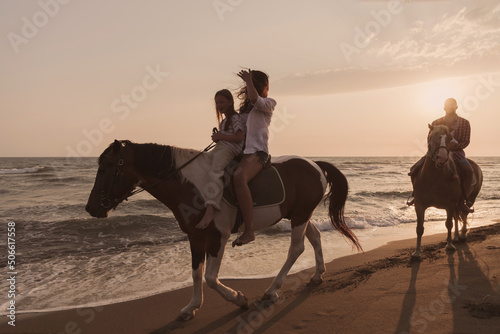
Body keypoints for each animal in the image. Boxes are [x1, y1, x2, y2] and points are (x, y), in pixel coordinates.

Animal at [85, 139, 360, 320]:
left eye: (105, 169)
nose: (90, 207)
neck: (192, 186)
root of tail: (315, 164)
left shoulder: (218, 237)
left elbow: (210, 277)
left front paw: (239, 298)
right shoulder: (195, 237)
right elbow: (197, 273)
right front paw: (192, 306)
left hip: (300, 215)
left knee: (296, 248)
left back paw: (272, 290)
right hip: (298, 214)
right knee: (315, 238)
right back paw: (317, 274)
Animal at [410, 125, 484, 260]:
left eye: (449, 138)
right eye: (432, 136)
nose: (442, 158)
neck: (434, 178)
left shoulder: (449, 205)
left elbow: (448, 224)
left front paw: (449, 246)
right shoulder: (419, 205)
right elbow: (419, 228)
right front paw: (417, 252)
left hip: (470, 199)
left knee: (464, 213)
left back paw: (462, 235)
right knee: (457, 216)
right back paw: (456, 237)